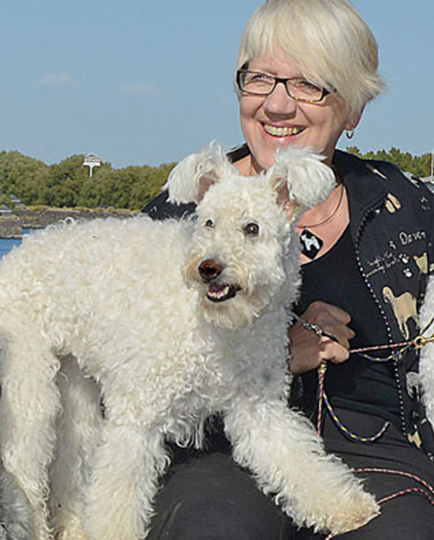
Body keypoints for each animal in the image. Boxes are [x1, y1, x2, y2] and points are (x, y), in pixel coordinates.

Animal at [0, 144, 378, 540]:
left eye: (252, 228)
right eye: (208, 222)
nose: (208, 268)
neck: (217, 324)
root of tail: (16, 256)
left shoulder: (258, 408)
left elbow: (297, 460)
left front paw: (346, 507)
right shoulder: (136, 422)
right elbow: (118, 500)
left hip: (77, 390)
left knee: (71, 466)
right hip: (29, 388)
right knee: (23, 470)